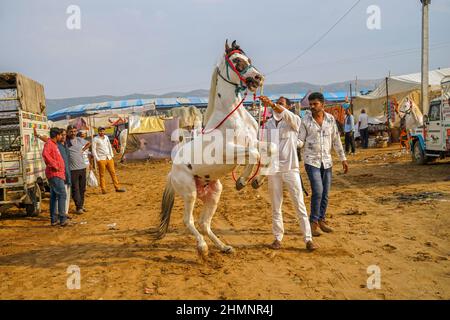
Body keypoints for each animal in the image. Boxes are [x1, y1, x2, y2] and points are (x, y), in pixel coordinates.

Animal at [153, 40, 276, 260]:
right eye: (237, 60)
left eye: (249, 59)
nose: (258, 77)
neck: (233, 116)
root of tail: (172, 173)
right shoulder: (229, 151)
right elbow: (254, 155)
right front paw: (242, 181)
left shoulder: (252, 141)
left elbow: (270, 148)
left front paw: (257, 180)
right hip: (190, 193)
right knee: (189, 221)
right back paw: (202, 248)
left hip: (214, 193)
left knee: (204, 223)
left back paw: (224, 247)